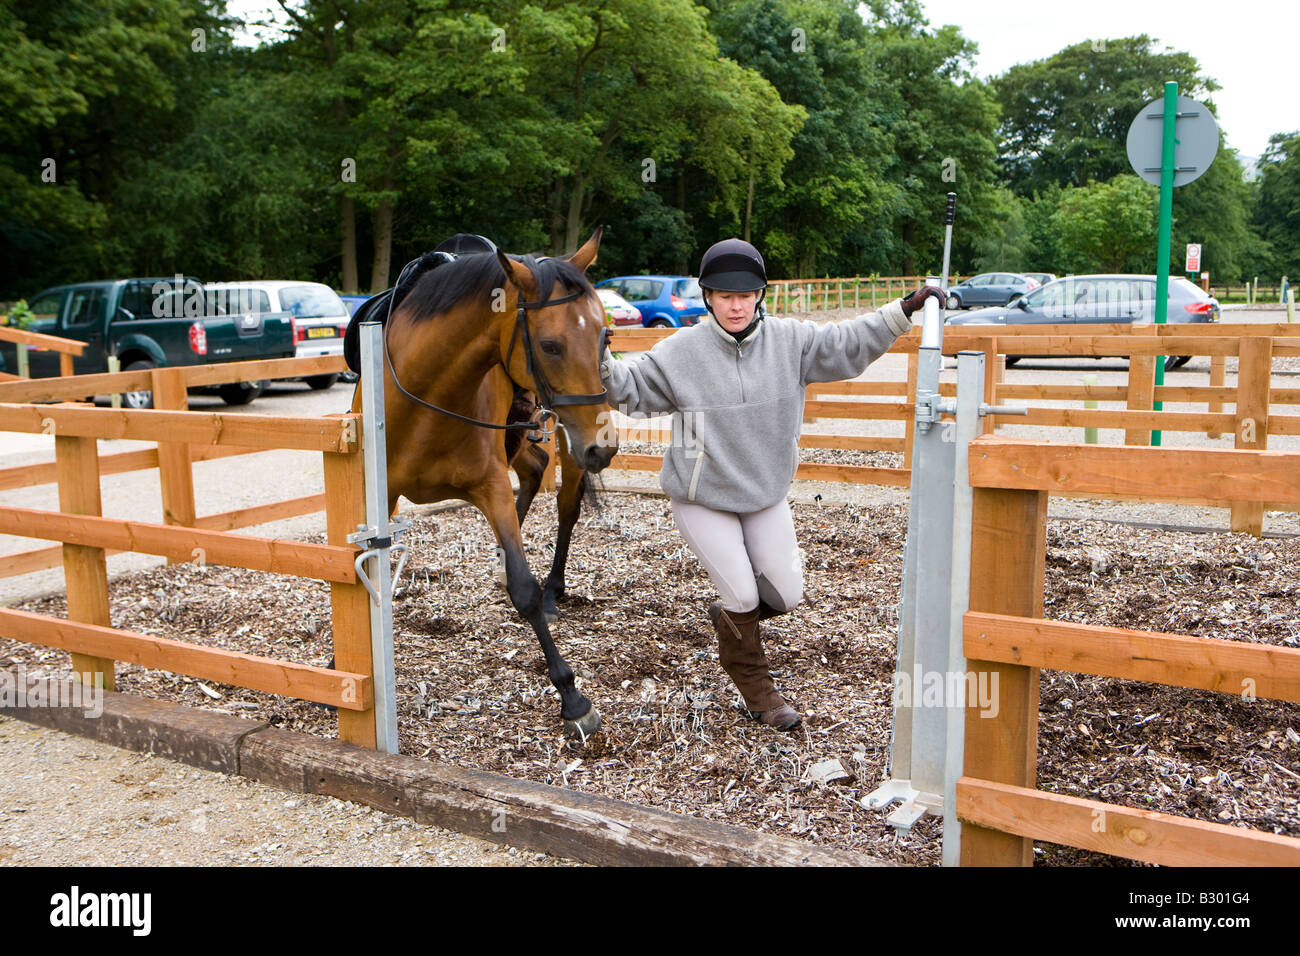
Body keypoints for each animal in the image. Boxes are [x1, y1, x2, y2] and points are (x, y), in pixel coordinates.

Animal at [350, 229, 615, 738]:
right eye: (550, 345)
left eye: (603, 334)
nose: (604, 446)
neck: (425, 394)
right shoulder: (381, 494)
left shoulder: (490, 486)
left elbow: (525, 588)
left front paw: (572, 697)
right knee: (533, 469)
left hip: (569, 443)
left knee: (565, 508)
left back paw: (554, 589)